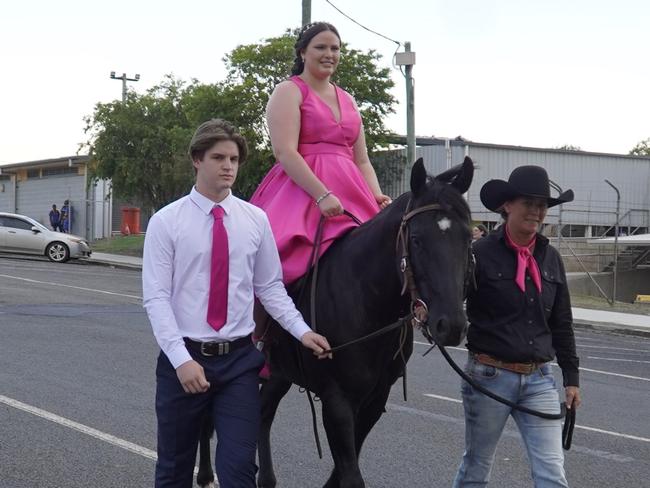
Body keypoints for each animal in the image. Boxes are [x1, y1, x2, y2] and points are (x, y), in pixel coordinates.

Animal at [195, 157, 474, 488]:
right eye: (417, 240)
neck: (365, 298)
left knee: (262, 414)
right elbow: (350, 475)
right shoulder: (337, 400)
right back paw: (206, 474)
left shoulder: (375, 400)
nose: (451, 325)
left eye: (468, 238)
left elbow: (341, 472)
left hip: (278, 374)